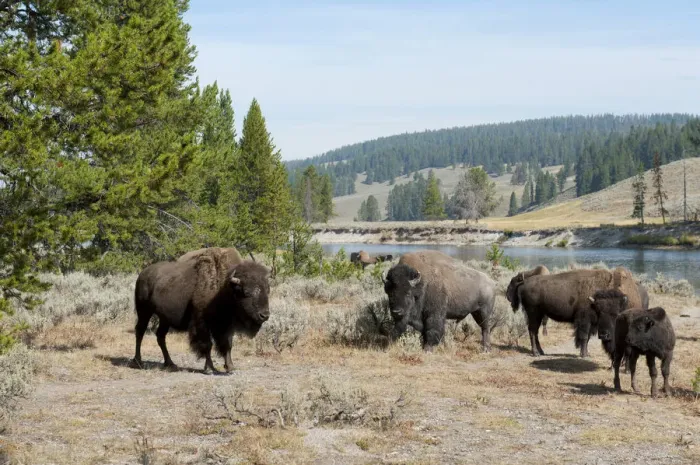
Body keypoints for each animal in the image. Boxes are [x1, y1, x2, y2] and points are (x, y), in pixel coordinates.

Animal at [132, 251, 270, 374]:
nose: (264, 315)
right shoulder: (202, 323)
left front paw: (230, 367)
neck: (223, 287)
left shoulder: (226, 326)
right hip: (144, 311)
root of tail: (142, 274)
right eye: (246, 292)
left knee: (160, 336)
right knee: (140, 331)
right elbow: (207, 345)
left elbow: (228, 345)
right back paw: (138, 362)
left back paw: (170, 363)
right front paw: (209, 368)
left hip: (164, 319)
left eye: (267, 290)